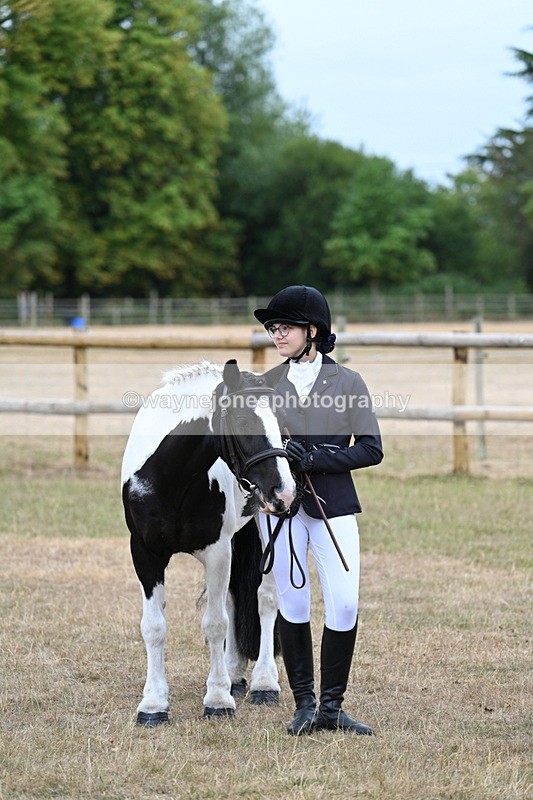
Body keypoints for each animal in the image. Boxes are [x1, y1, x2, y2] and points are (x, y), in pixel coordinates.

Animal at [121, 359, 296, 726]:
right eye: (243, 420)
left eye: (282, 421)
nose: (285, 492)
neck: (170, 480)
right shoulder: (144, 553)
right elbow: (154, 626)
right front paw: (153, 705)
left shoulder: (218, 552)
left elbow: (216, 624)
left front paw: (217, 700)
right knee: (234, 599)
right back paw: (234, 676)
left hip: (267, 528)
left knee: (265, 599)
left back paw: (263, 683)